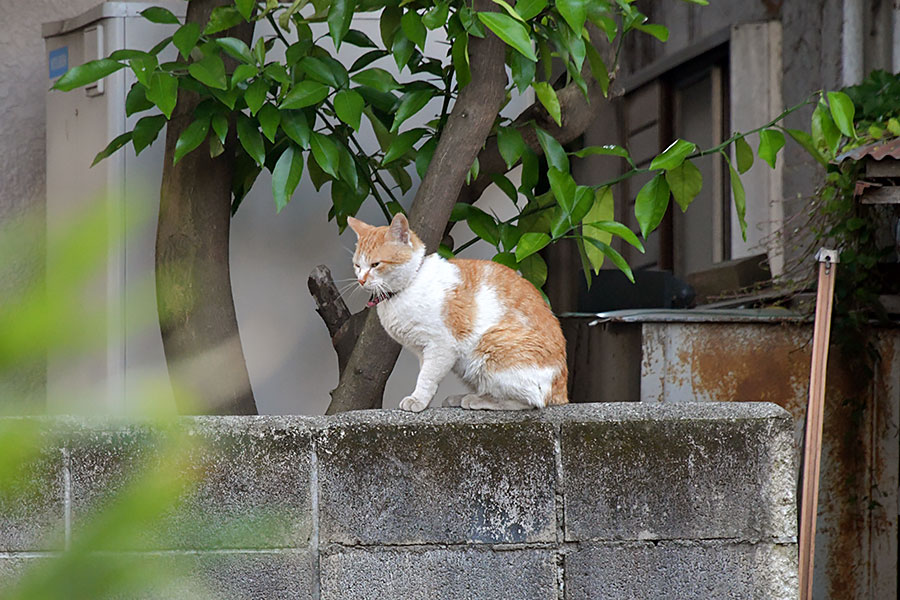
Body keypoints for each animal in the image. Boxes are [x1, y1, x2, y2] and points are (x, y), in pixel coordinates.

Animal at [346, 212, 568, 412]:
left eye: (376, 264)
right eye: (357, 265)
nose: (361, 280)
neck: (410, 285)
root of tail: (561, 392)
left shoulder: (441, 345)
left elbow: (426, 377)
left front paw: (417, 400)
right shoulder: (422, 351)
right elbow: (427, 374)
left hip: (490, 346)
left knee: (530, 401)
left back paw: (478, 400)